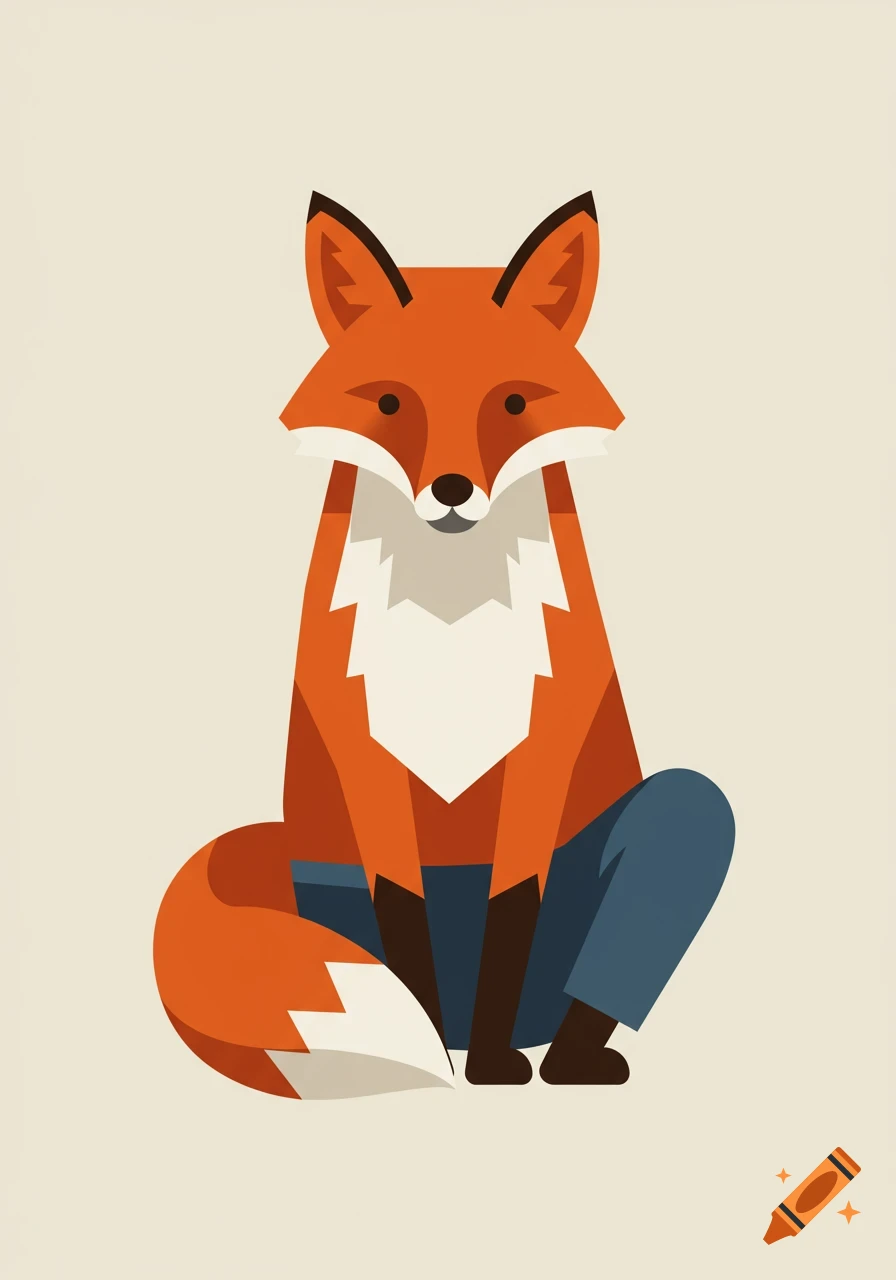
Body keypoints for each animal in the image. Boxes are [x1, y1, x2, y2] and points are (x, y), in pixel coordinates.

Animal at [153, 192, 735, 1100]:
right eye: (392, 403)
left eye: (513, 404)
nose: (453, 491)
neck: (451, 614)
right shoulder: (364, 745)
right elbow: (401, 909)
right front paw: (436, 1040)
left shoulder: (541, 744)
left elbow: (512, 911)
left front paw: (494, 1067)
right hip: (325, 889)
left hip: (657, 845)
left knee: (683, 812)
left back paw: (560, 1059)